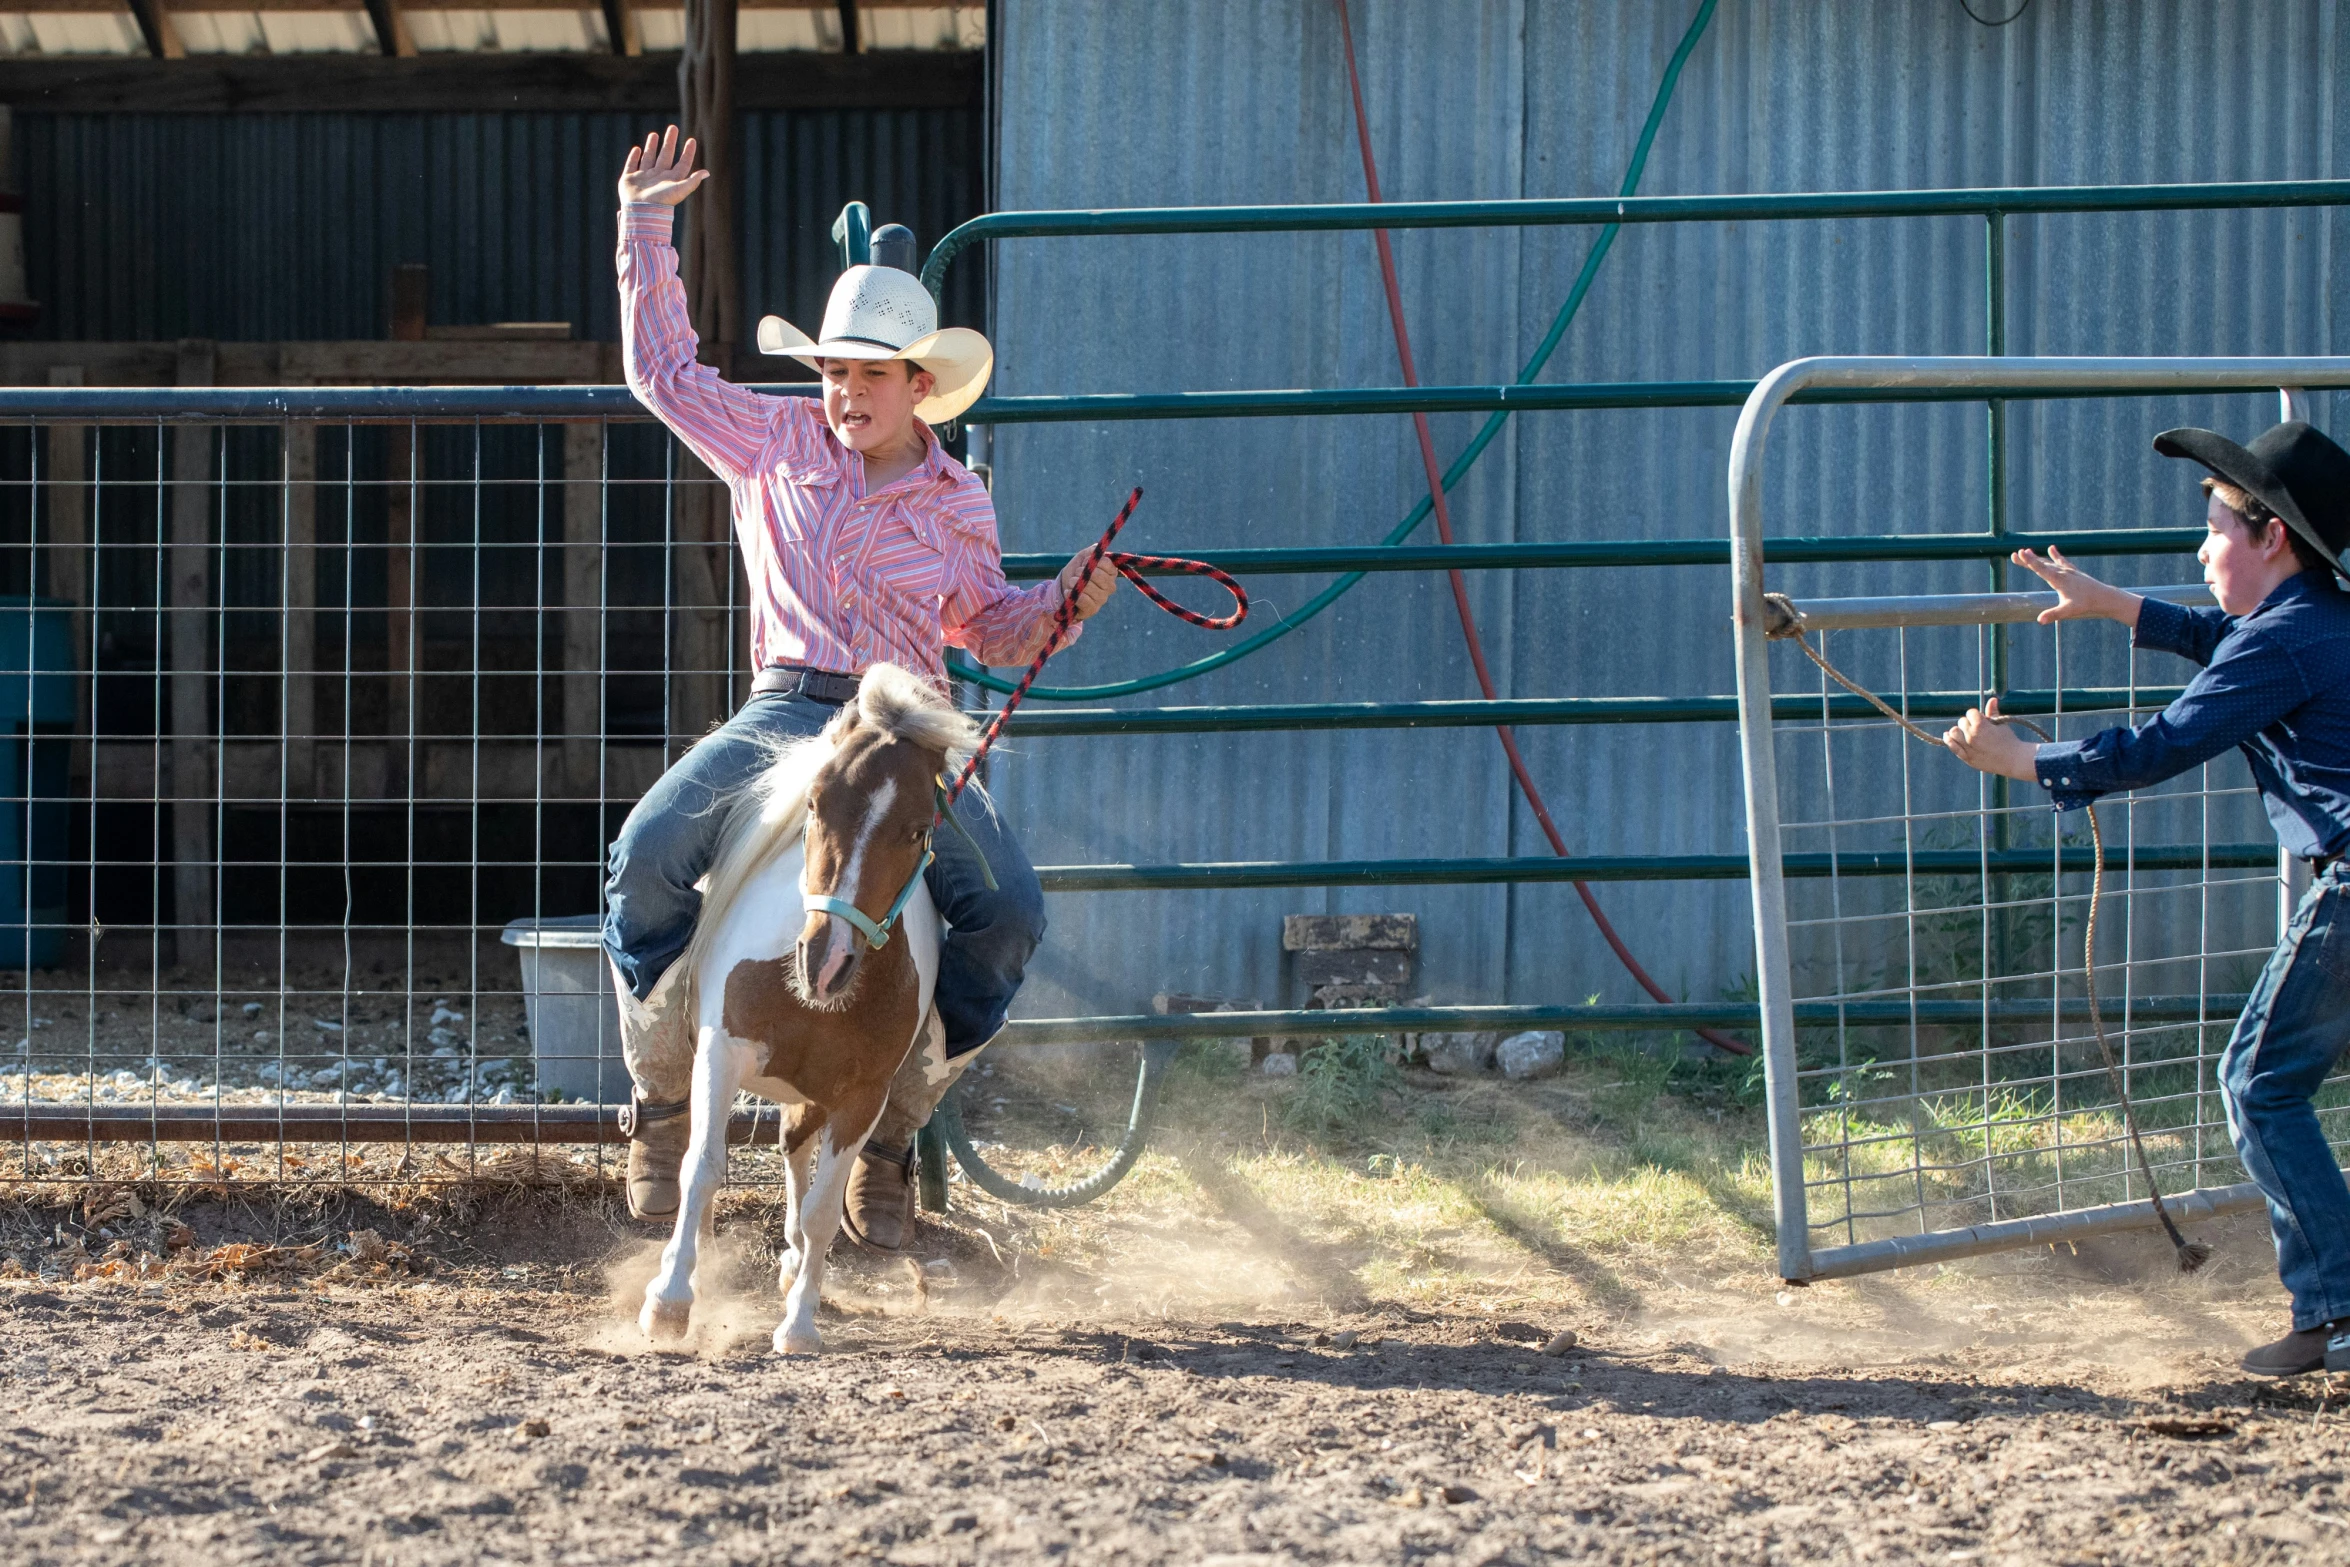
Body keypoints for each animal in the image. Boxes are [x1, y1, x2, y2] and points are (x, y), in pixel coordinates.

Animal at [634, 667, 972, 1353]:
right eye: (816, 804)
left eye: (918, 829)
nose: (825, 959)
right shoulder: (722, 1050)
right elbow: (701, 1168)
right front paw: (670, 1301)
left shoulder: (862, 1096)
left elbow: (821, 1208)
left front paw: (799, 1324)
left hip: (815, 1089)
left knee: (795, 1149)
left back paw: (793, 1268)